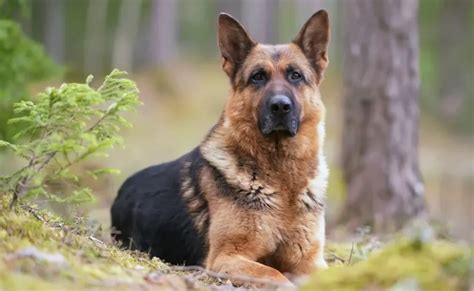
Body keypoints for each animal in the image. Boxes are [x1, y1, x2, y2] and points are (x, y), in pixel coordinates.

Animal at [113, 9, 332, 288]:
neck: (281, 177)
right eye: (258, 77)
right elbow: (277, 275)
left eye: (295, 75)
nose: (280, 106)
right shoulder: (226, 257)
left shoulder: (310, 261)